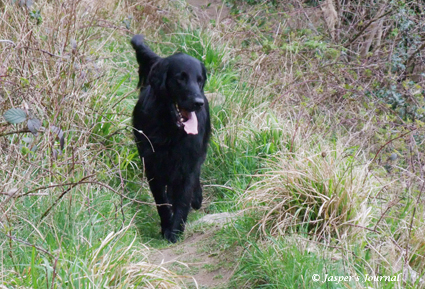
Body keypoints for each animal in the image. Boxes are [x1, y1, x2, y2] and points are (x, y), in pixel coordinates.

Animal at [129, 34, 209, 243]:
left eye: (199, 80)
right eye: (180, 78)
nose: (198, 102)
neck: (171, 131)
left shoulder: (188, 163)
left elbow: (183, 198)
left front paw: (175, 231)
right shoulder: (152, 165)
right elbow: (161, 201)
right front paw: (167, 226)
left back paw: (197, 198)